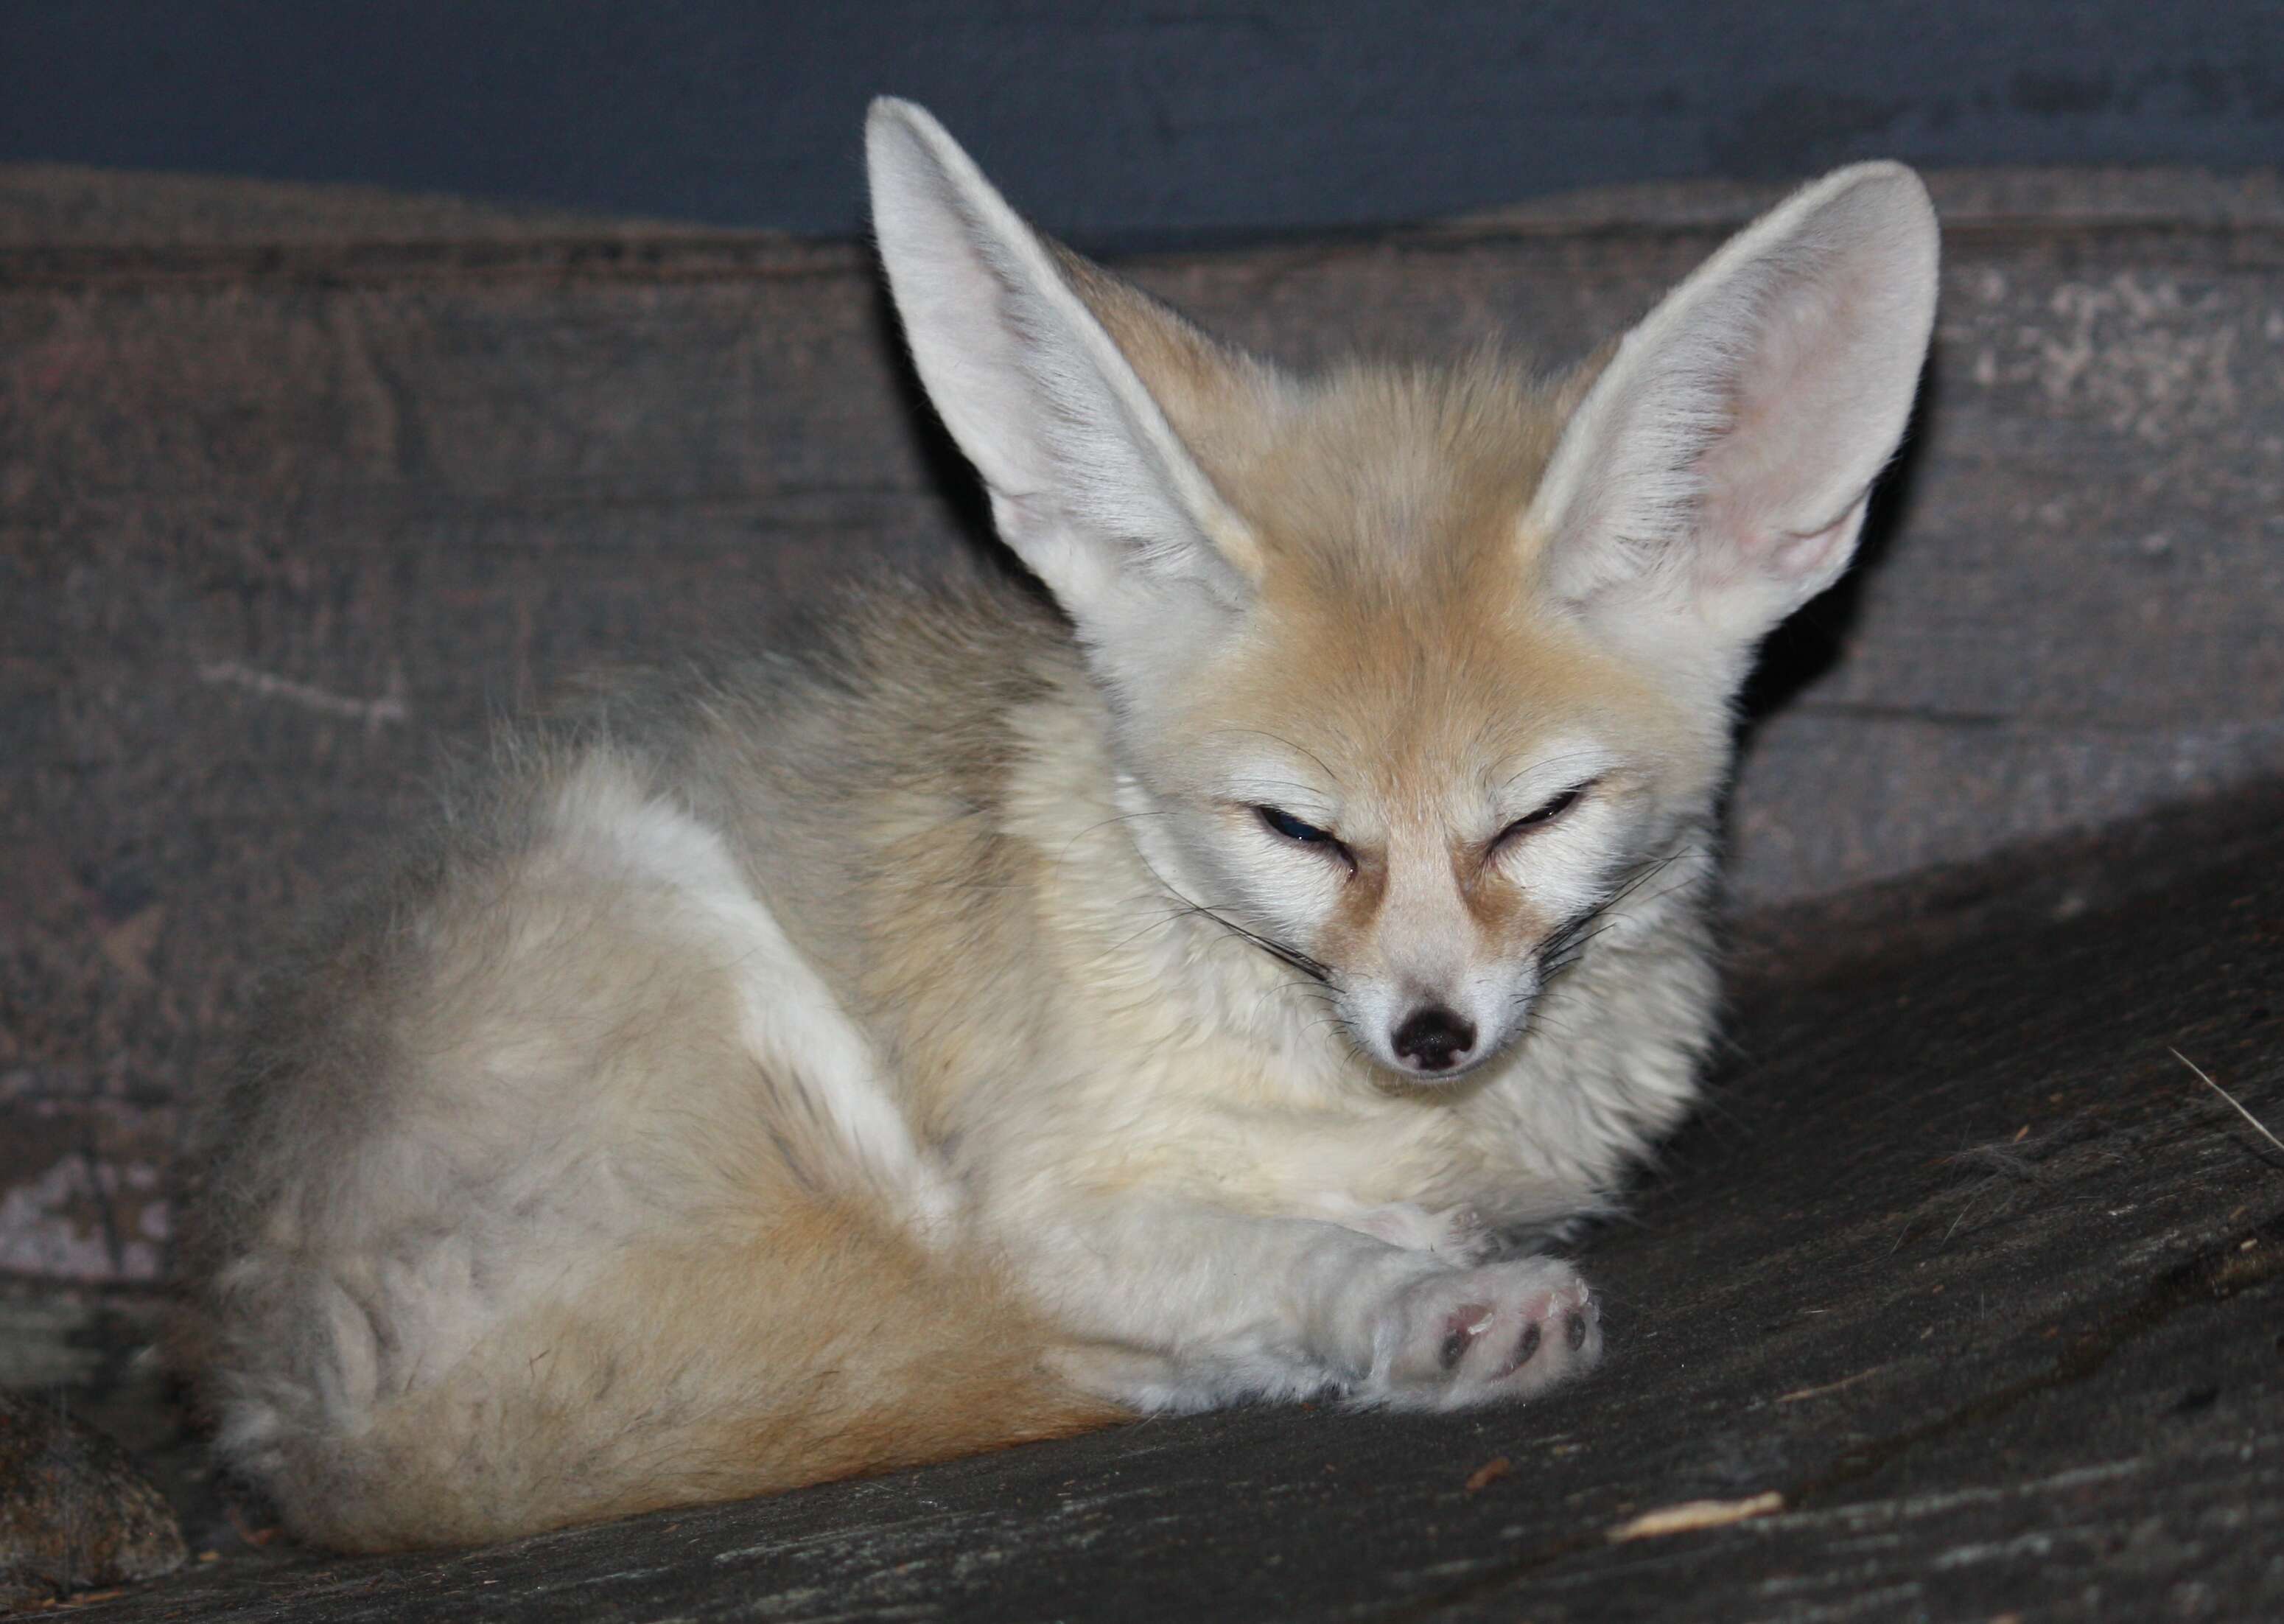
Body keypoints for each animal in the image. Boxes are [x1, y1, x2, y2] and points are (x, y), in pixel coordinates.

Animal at [187, 101, 1936, 1553]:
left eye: (1540, 814)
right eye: (1297, 830)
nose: (1431, 1033)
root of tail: (291, 1410)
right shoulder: (1039, 1200)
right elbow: (1252, 1257)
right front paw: (1405, 1306)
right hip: (678, 908)